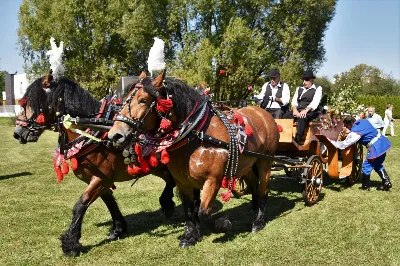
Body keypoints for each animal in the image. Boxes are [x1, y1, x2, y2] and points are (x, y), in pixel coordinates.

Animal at [13, 74, 176, 256]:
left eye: (34, 103)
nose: (17, 133)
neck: (92, 131)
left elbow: (80, 204)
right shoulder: (101, 180)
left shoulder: (100, 178)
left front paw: (71, 244)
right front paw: (118, 229)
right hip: (158, 167)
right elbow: (109, 202)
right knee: (170, 180)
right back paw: (167, 203)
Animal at [108, 72, 280, 247]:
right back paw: (253, 206)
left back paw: (258, 221)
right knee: (253, 182)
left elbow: (204, 212)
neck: (195, 134)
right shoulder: (182, 181)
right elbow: (190, 210)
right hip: (246, 163)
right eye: (124, 99)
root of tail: (263, 113)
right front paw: (190, 236)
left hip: (265, 161)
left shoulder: (213, 179)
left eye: (143, 100)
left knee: (263, 188)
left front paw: (222, 224)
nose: (115, 135)